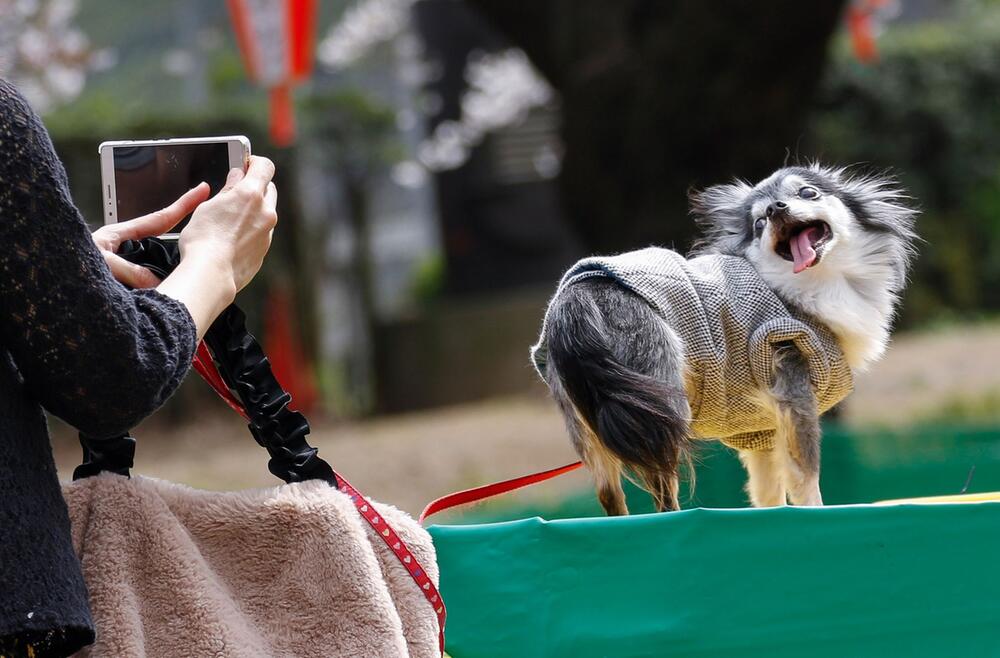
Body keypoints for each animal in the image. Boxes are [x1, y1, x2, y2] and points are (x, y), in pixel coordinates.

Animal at [536, 163, 916, 512]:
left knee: (608, 493)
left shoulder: (763, 428)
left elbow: (767, 489)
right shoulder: (793, 384)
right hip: (661, 404)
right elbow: (805, 475)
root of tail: (575, 296)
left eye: (808, 193)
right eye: (760, 223)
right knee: (661, 492)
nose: (775, 209)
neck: (810, 284)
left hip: (589, 418)